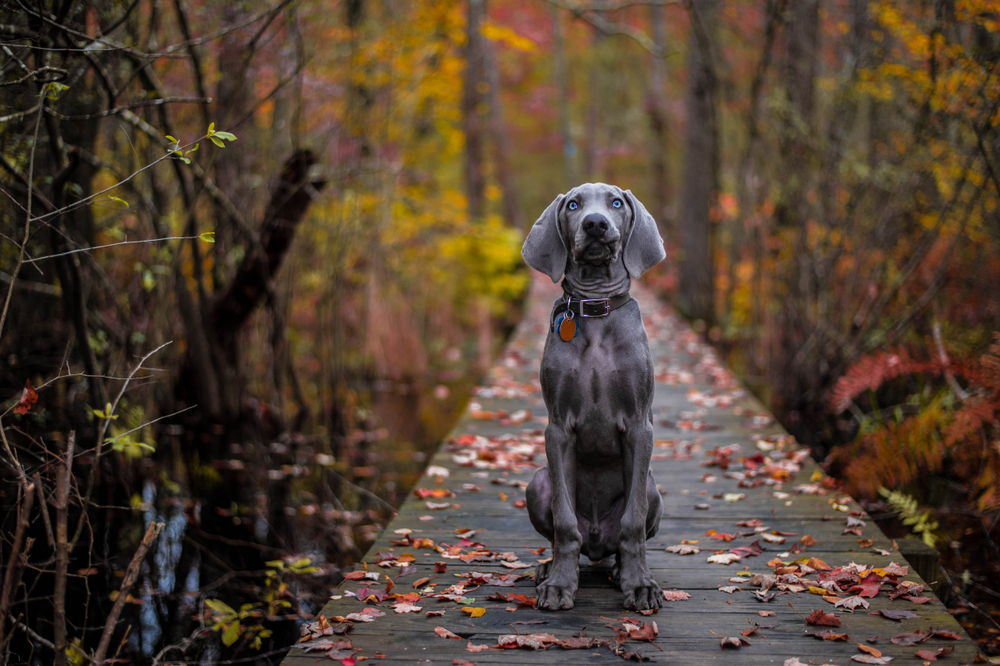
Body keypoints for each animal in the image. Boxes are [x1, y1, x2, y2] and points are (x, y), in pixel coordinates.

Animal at [524, 180, 664, 608]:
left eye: (616, 202)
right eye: (573, 205)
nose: (596, 224)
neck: (596, 307)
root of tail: (598, 544)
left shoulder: (639, 425)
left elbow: (632, 524)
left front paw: (639, 585)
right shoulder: (557, 428)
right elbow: (565, 523)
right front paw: (559, 584)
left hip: (652, 488)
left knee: (624, 536)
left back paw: (619, 570)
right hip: (537, 482)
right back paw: (546, 568)